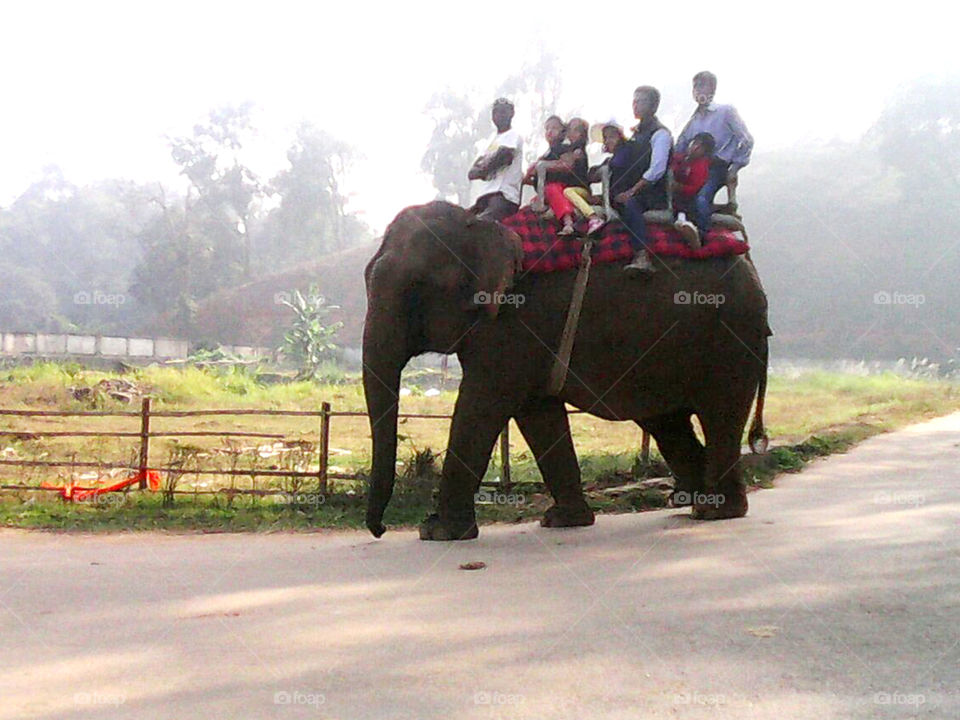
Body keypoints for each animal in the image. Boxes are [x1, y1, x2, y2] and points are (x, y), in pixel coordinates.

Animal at [363, 201, 769, 540]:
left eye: (415, 289)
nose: (380, 530)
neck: (480, 225)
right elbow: (536, 412)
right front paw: (563, 521)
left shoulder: (514, 324)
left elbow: (482, 404)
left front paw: (437, 533)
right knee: (667, 421)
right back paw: (690, 501)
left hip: (731, 336)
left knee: (720, 414)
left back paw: (714, 511)